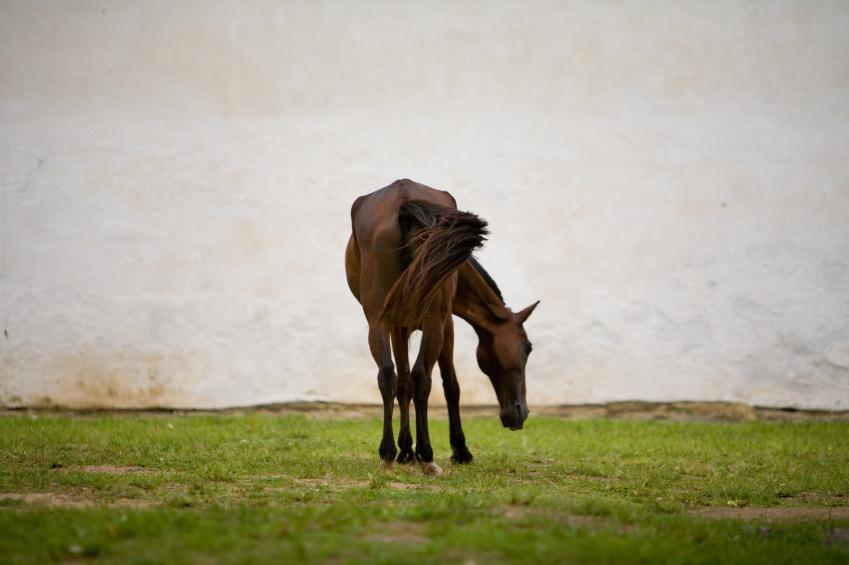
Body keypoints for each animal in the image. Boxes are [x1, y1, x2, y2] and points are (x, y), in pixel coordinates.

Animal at [342, 178, 536, 474]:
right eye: (528, 348)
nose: (519, 412)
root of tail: (404, 198)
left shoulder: (398, 326)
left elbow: (403, 383)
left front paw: (405, 451)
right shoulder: (446, 324)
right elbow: (450, 386)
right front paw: (459, 450)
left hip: (378, 322)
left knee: (388, 375)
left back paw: (389, 453)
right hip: (433, 323)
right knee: (423, 378)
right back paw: (427, 455)